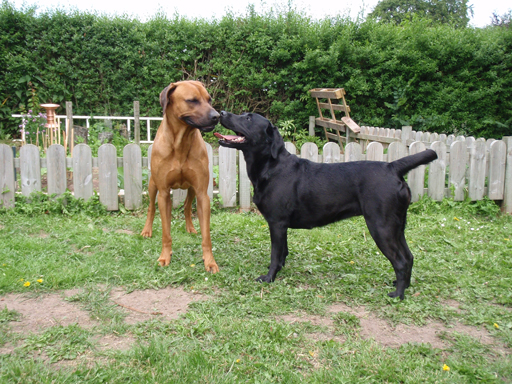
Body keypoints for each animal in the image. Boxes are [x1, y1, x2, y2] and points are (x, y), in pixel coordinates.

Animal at [141, 81, 219, 272]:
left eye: (209, 99)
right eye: (192, 100)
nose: (217, 116)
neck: (181, 142)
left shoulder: (202, 193)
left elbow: (206, 236)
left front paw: (210, 261)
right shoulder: (163, 192)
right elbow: (166, 232)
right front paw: (164, 256)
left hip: (191, 189)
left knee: (186, 206)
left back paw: (190, 227)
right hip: (153, 185)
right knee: (151, 208)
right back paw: (147, 230)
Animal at [215, 111, 436, 300]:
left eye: (248, 118)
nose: (222, 113)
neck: (271, 166)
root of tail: (392, 167)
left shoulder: (276, 223)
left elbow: (274, 255)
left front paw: (269, 278)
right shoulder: (281, 225)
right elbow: (283, 252)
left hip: (381, 226)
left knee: (400, 261)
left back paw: (398, 295)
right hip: (397, 226)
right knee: (409, 257)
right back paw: (403, 286)